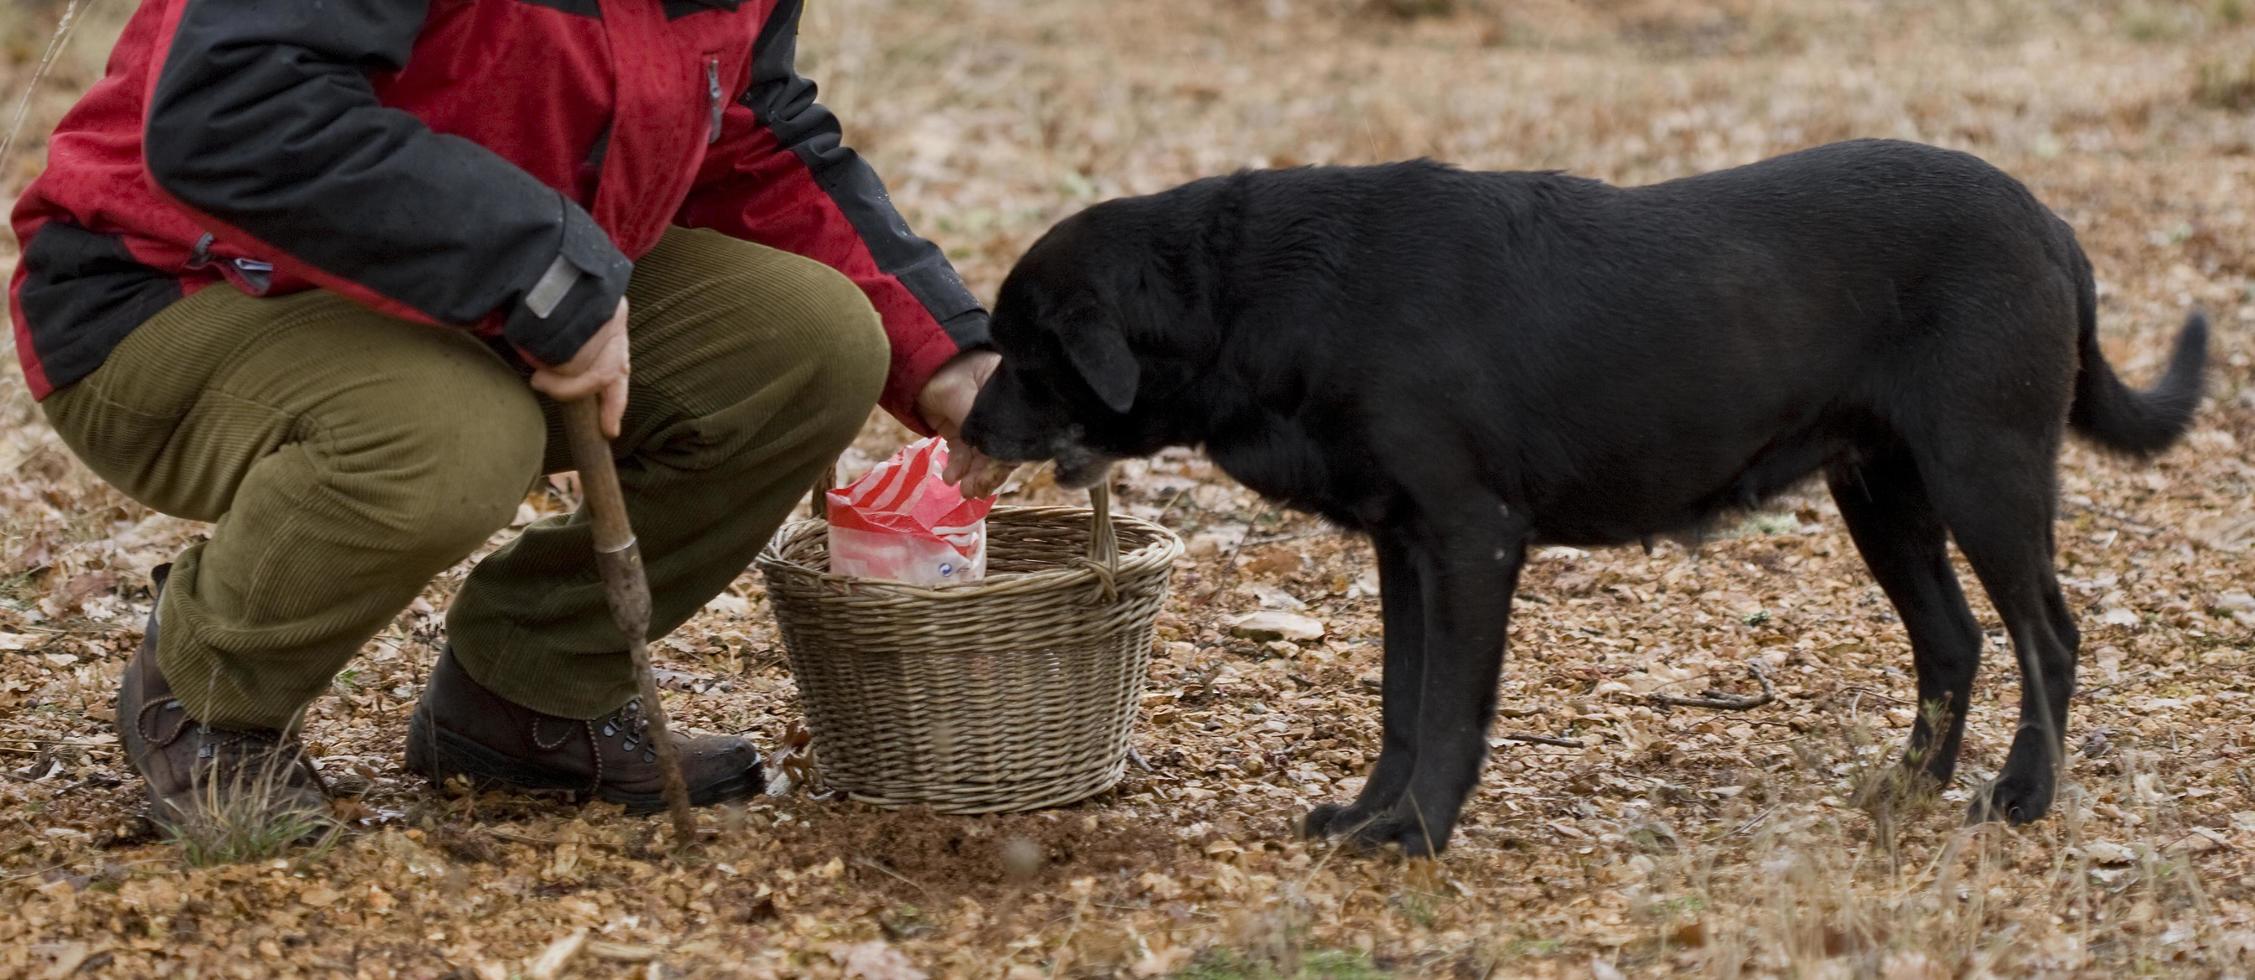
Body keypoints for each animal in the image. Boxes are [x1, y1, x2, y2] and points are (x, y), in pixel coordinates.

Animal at [960, 140, 2209, 860]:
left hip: (1980, 466)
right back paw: (1903, 787)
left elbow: (1449, 708)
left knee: (2045, 633)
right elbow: (1399, 700)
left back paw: (2020, 796)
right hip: (1880, 486)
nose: (965, 431)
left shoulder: (1471, 535)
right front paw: (1366, 814)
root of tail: (2046, 223)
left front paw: (1417, 831)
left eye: (1024, 350)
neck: (1266, 290)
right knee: (1951, 638)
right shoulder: (1401, 544)